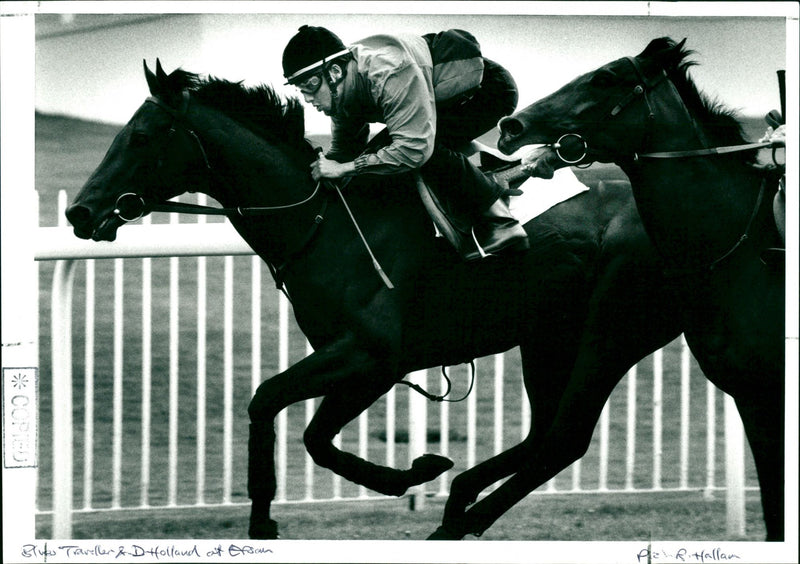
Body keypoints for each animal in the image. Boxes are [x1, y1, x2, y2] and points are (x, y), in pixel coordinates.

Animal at [65, 59, 688, 540]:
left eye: (141, 137)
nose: (79, 213)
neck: (323, 222)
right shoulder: (351, 358)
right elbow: (289, 421)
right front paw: (268, 518)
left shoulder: (374, 358)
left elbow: (292, 420)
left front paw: (416, 471)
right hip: (548, 337)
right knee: (544, 436)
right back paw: (458, 503)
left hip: (612, 337)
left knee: (565, 438)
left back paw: (456, 515)